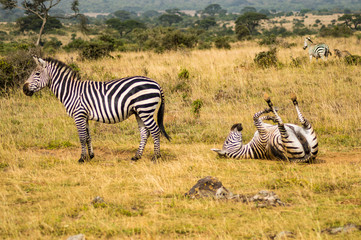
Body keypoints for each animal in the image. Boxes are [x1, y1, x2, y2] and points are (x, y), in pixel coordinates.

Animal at [23, 56, 170, 163]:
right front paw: (91, 155)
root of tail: (156, 83)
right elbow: (88, 136)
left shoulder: (79, 115)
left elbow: (82, 137)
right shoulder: (84, 116)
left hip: (145, 109)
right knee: (145, 132)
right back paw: (136, 156)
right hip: (139, 112)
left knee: (155, 131)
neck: (71, 91)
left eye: (37, 73)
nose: (24, 89)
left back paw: (156, 157)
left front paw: (82, 158)